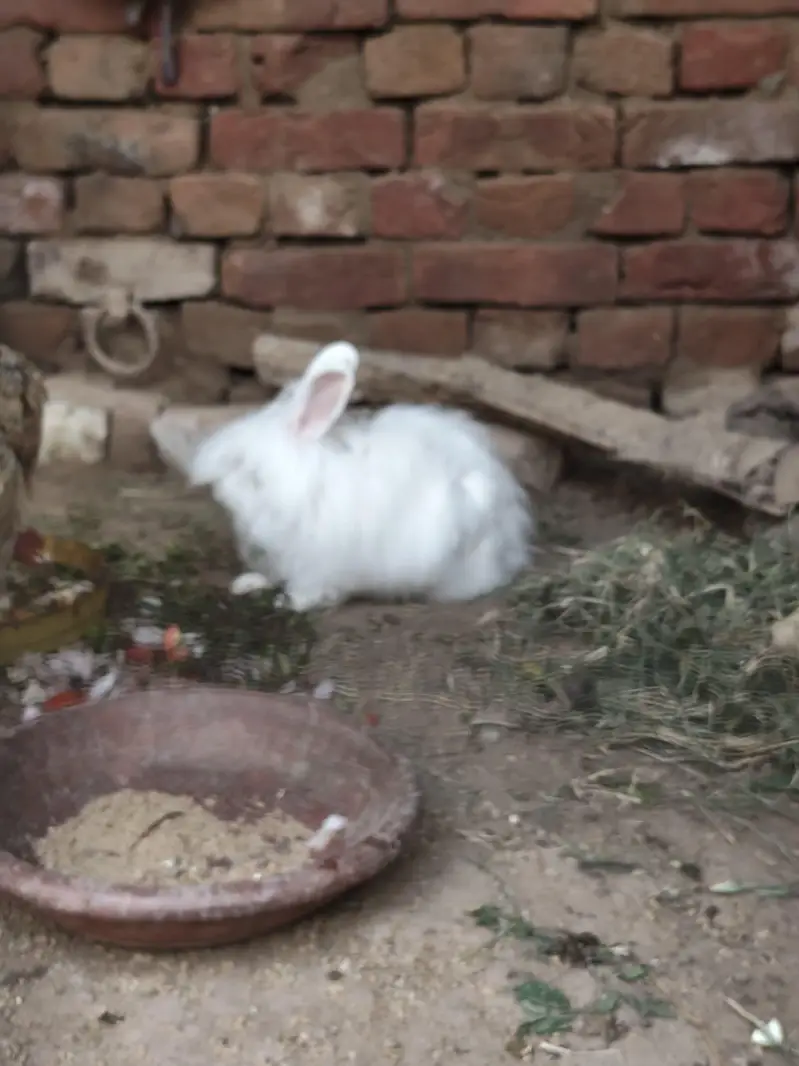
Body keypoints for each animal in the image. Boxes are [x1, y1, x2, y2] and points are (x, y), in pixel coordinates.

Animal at [189, 341, 533, 612]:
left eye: (241, 466)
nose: (218, 493)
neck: (299, 486)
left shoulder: (316, 564)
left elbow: (308, 591)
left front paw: (289, 602)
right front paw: (247, 583)